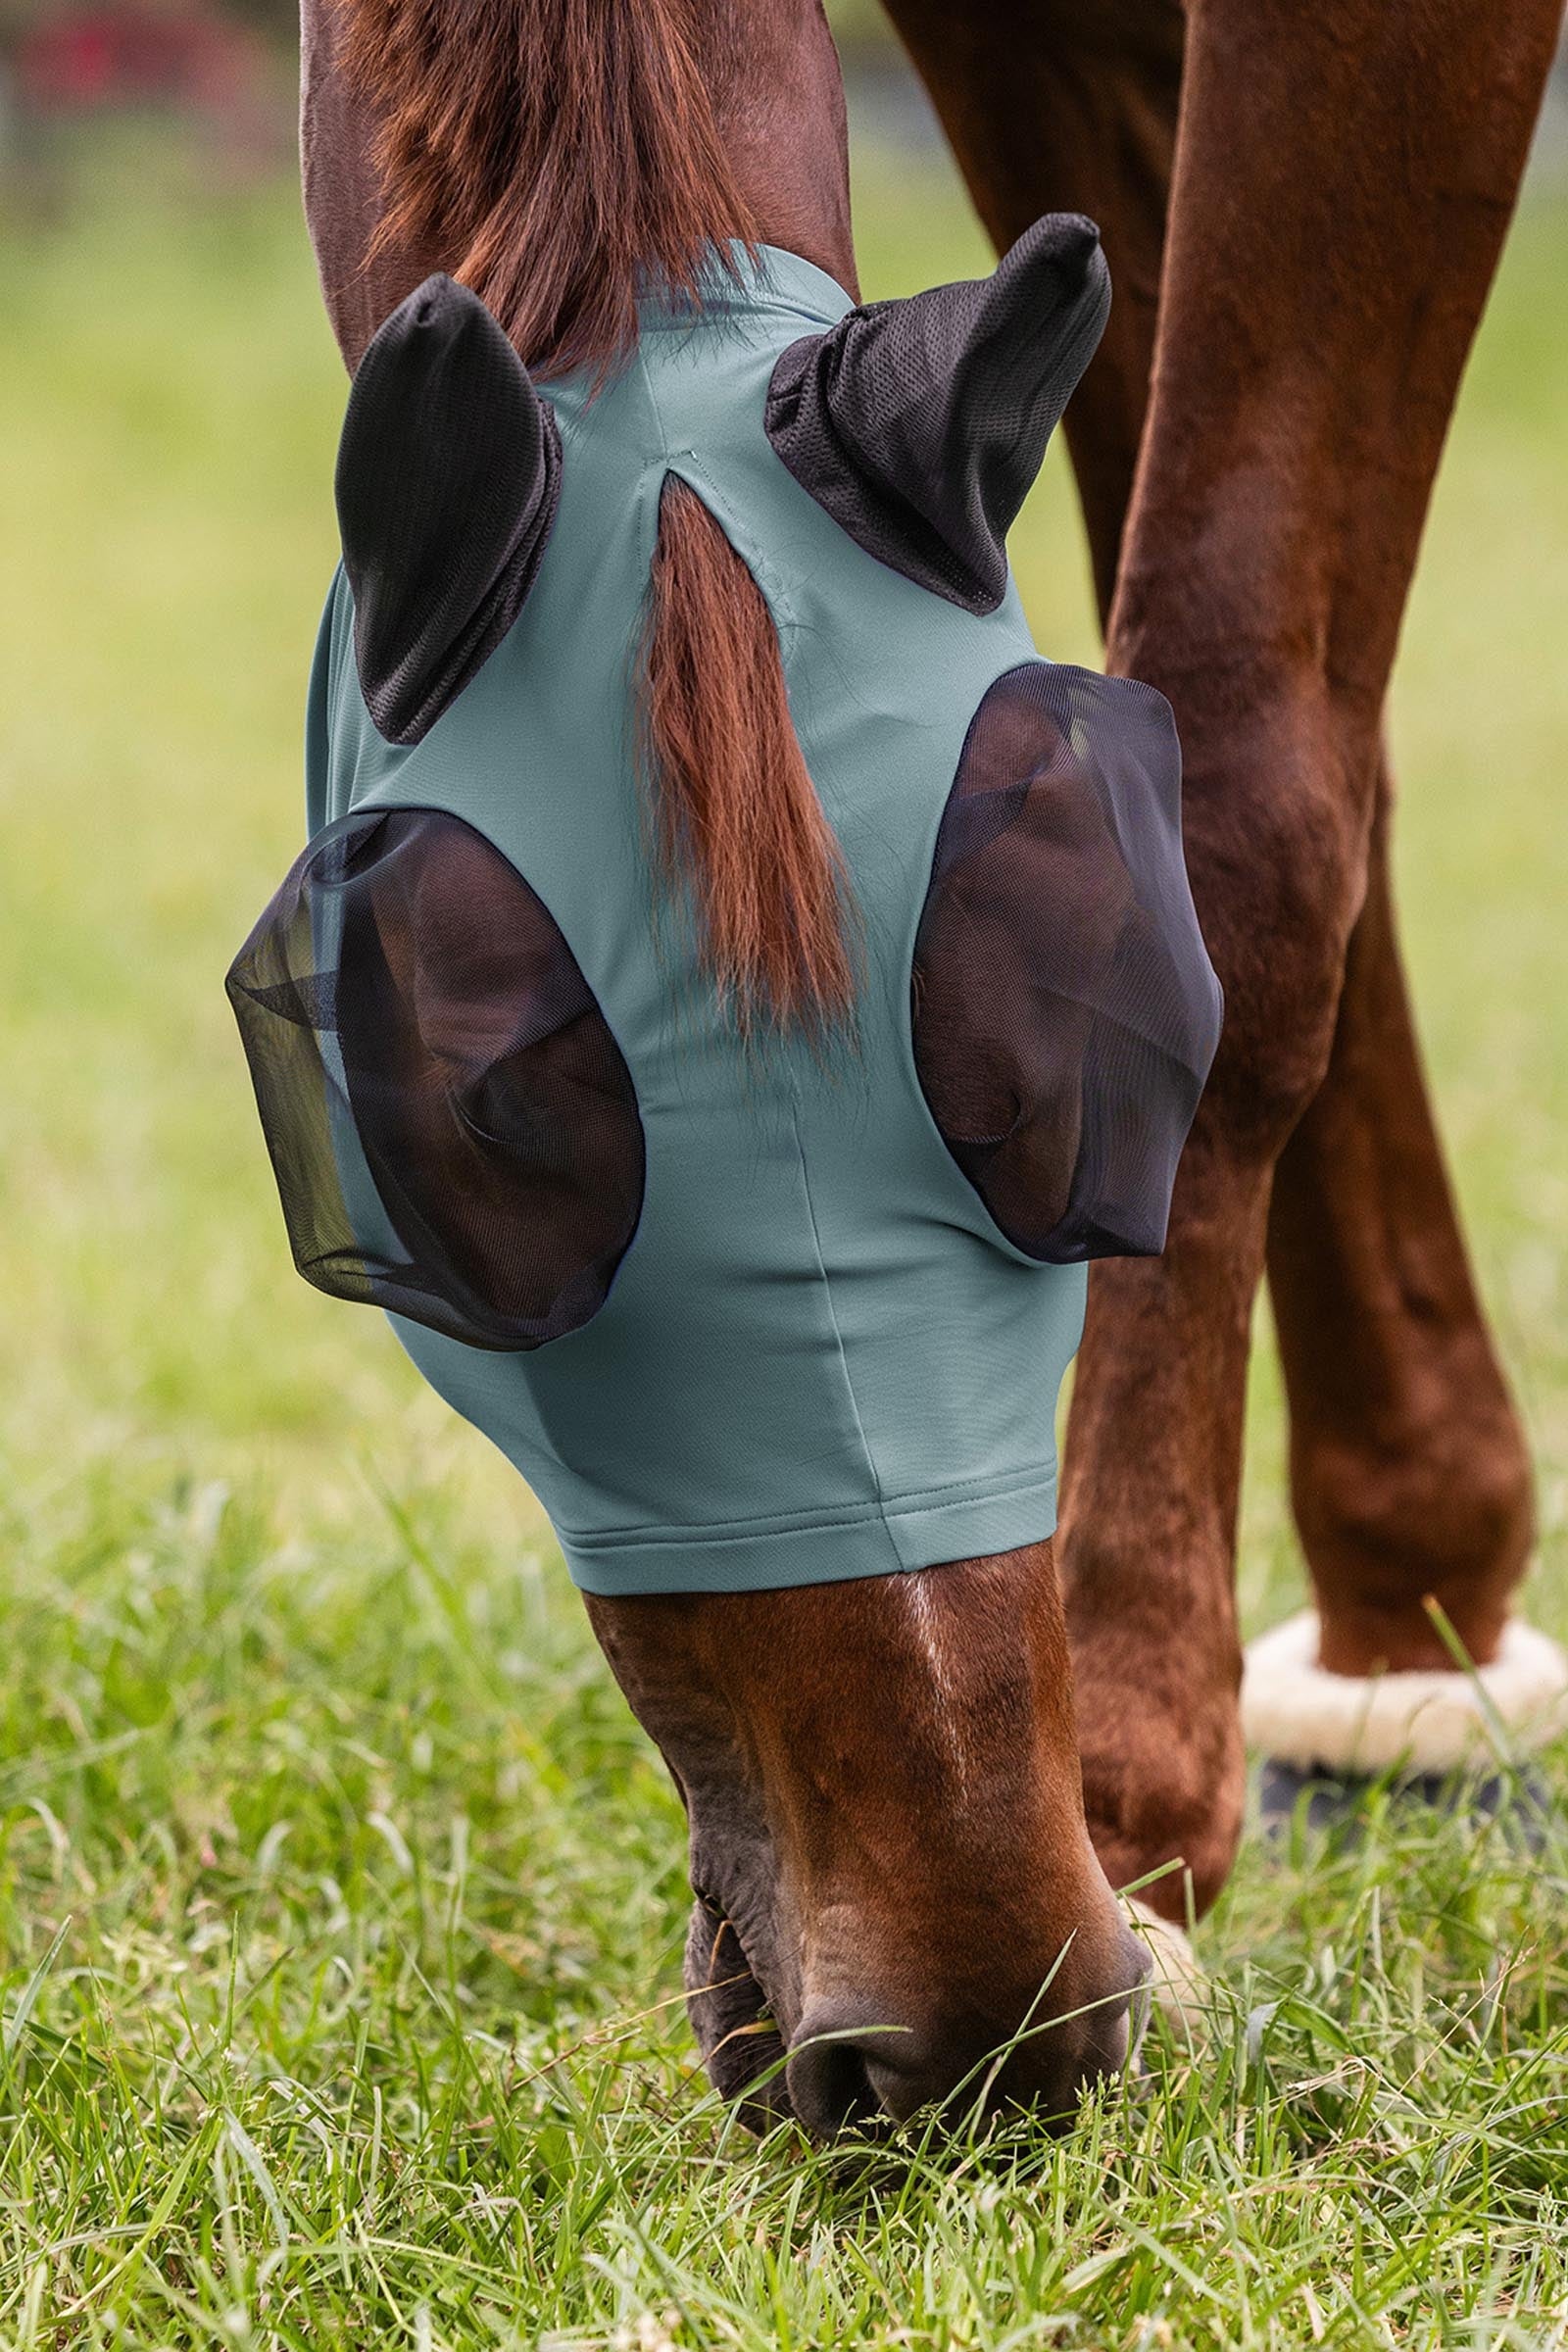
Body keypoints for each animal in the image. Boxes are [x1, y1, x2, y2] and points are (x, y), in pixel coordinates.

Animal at [281, 0, 1567, 2136]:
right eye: (482, 1118)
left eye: (1098, 1008)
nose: (980, 2027)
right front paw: (1404, 1595)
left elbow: (1250, 764)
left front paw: (1138, 1771)